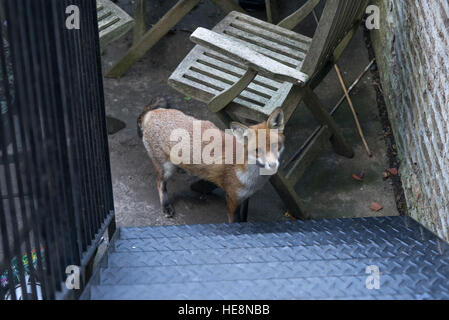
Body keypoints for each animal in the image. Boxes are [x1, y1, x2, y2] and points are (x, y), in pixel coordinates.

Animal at [137, 99, 284, 222]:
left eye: (275, 145)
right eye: (257, 150)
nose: (273, 165)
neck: (254, 179)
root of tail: (151, 114)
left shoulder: (246, 198)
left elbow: (244, 219)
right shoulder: (232, 199)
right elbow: (236, 222)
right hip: (166, 169)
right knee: (160, 183)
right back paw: (166, 206)